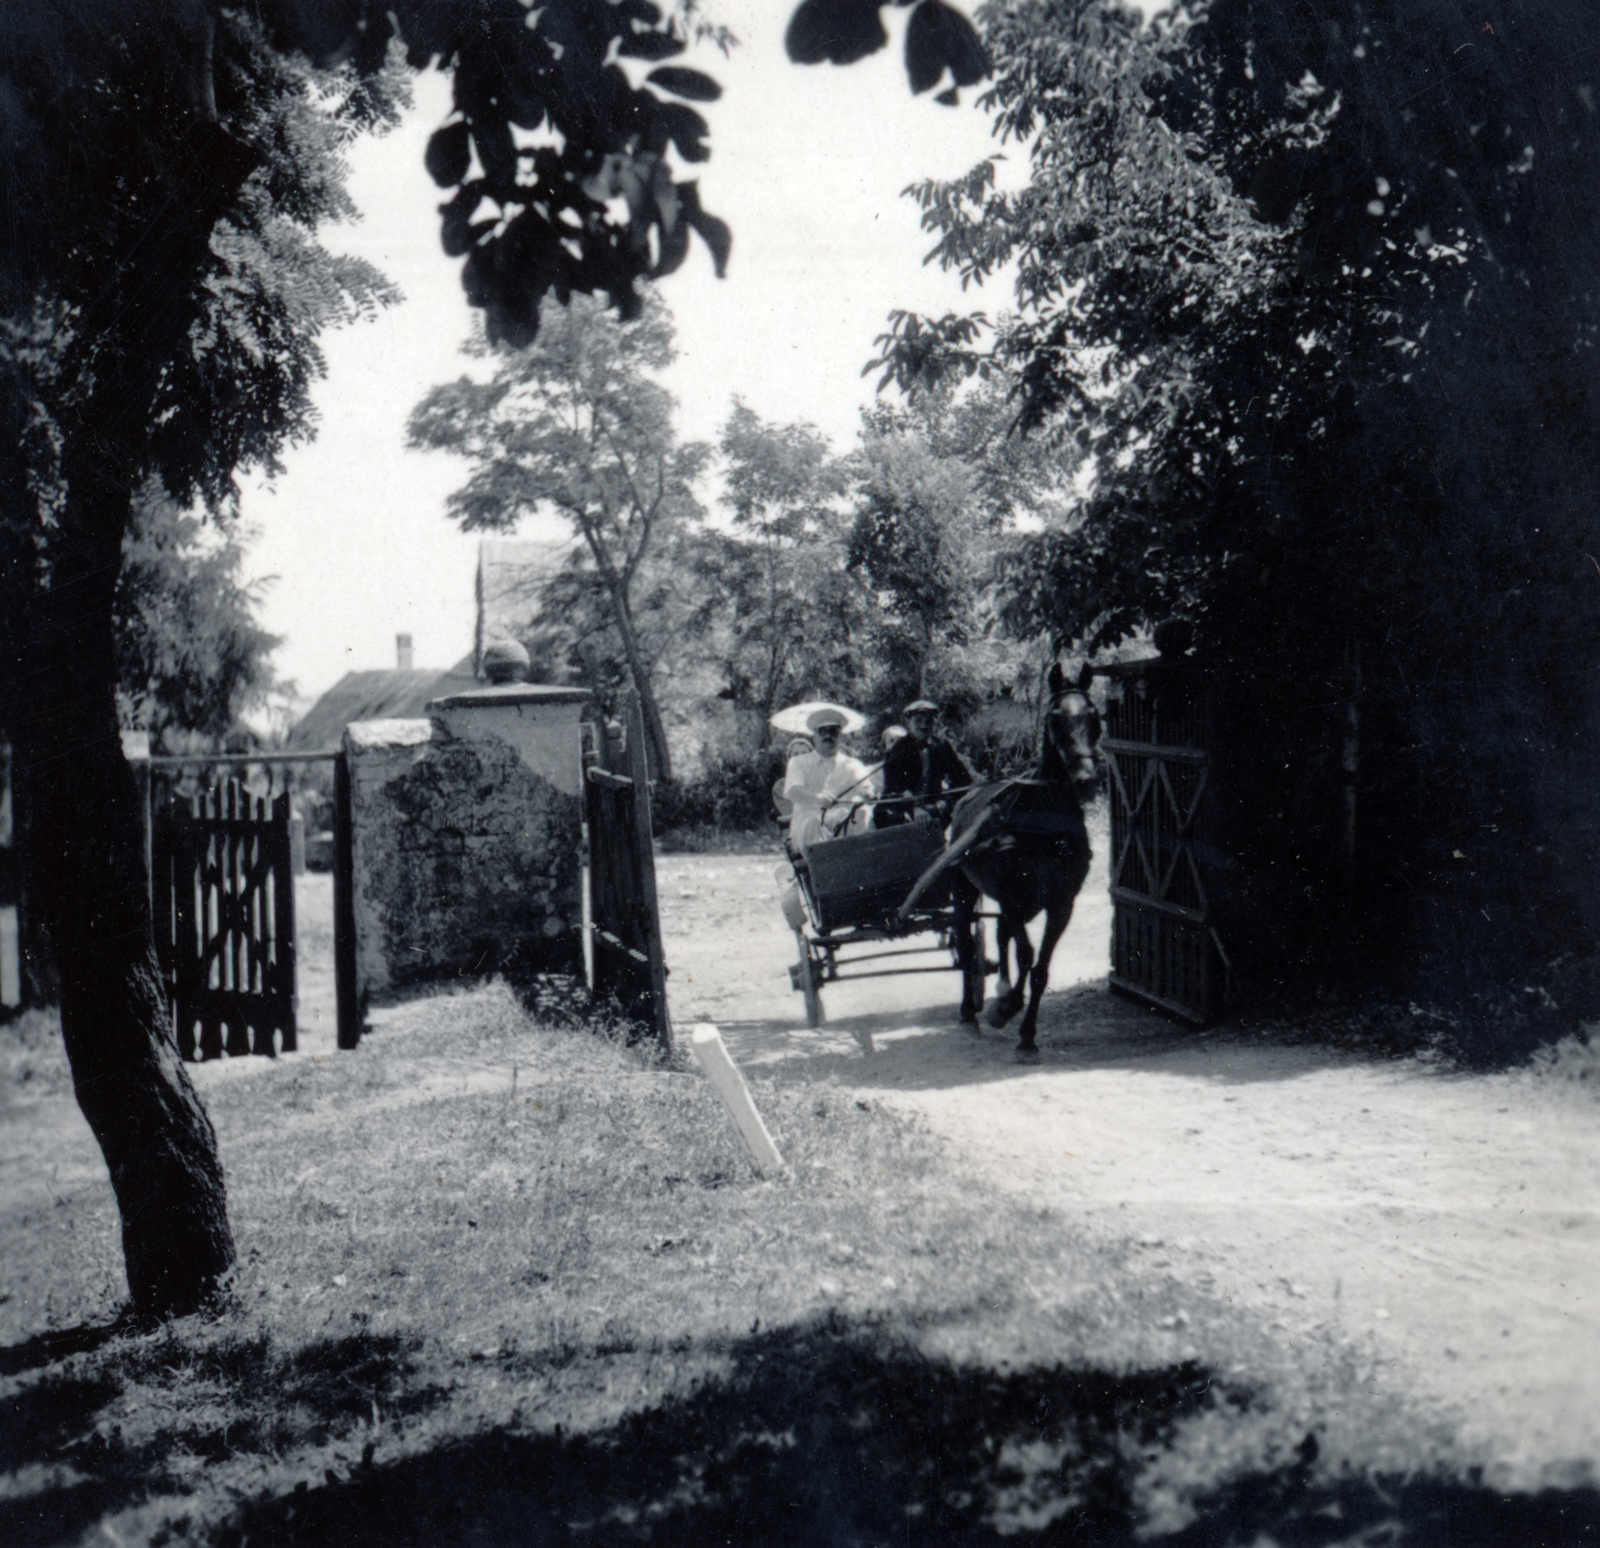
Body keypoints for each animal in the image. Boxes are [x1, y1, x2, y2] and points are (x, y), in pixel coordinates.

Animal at [902, 658, 1100, 1055]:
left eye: (1094, 715)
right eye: (1055, 718)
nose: (1086, 780)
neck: (1044, 821)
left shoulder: (1061, 903)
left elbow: (1039, 968)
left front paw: (1026, 1033)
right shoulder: (1011, 896)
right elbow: (1025, 953)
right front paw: (1006, 1007)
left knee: (999, 934)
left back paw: (1002, 992)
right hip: (964, 891)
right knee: (968, 944)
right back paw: (971, 1011)